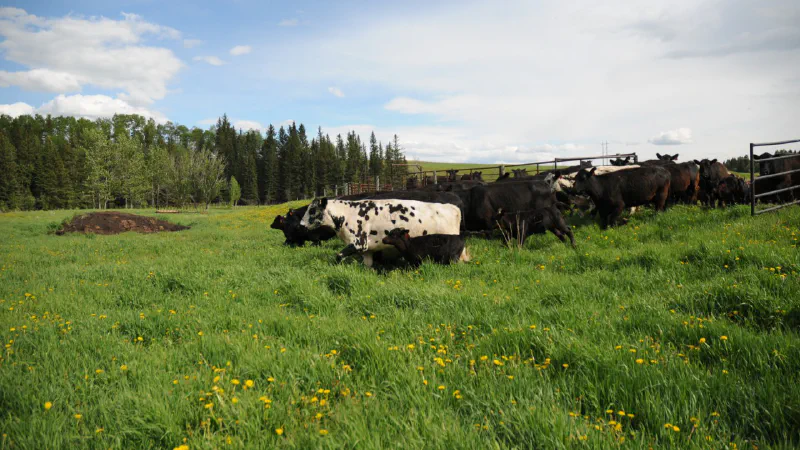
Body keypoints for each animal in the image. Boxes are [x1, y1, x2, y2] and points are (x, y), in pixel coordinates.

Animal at [300, 198, 462, 267]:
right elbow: (368, 265)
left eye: (312, 210)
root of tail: (451, 207)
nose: (301, 225)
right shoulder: (367, 249)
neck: (347, 215)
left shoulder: (359, 243)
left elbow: (339, 255)